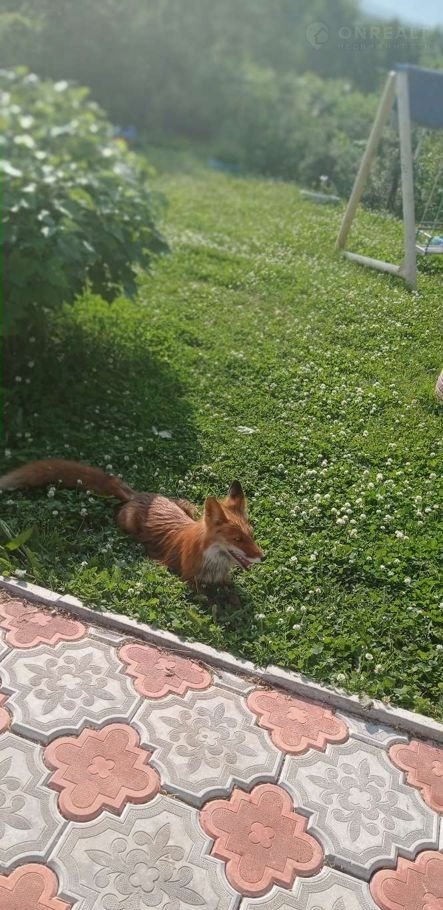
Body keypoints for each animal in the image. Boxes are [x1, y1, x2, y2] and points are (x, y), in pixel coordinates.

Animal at [0, 459, 265, 589]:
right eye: (238, 539)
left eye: (251, 535)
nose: (262, 557)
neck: (214, 566)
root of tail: (138, 495)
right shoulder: (188, 581)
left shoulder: (223, 582)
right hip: (127, 524)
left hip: (188, 506)